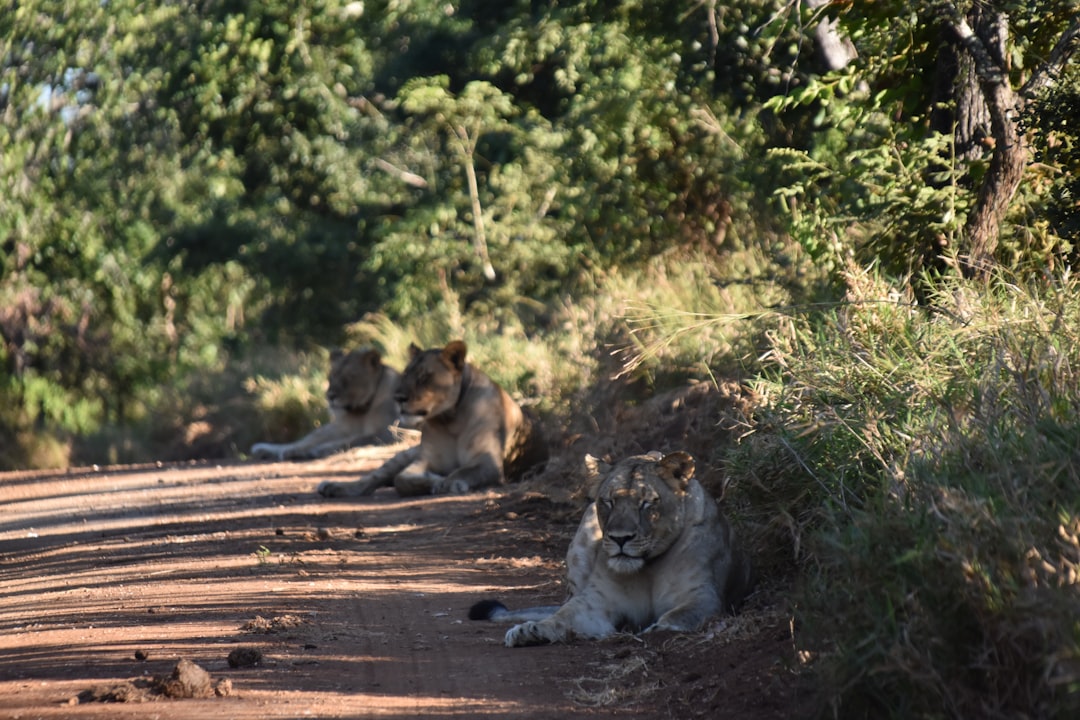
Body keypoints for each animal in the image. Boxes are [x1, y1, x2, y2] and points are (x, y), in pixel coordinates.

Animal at [250, 348, 400, 461]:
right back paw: (266, 449)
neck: (361, 410)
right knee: (306, 439)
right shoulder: (342, 427)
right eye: (332, 376)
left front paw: (320, 449)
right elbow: (319, 438)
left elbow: (355, 439)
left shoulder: (389, 432)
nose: (330, 396)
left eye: (349, 377)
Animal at [317, 340, 547, 497]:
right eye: (405, 374)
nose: (398, 398)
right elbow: (402, 480)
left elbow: (464, 471)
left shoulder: (488, 461)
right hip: (403, 455)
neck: (450, 420)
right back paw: (333, 486)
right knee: (371, 480)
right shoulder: (424, 459)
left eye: (424, 377)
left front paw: (450, 482)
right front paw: (435, 481)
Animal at [469, 451, 753, 647]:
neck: (648, 569)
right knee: (564, 602)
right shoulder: (595, 601)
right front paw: (529, 630)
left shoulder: (704, 596)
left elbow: (679, 616)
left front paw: (654, 630)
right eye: (608, 501)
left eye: (646, 503)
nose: (620, 538)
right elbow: (562, 617)